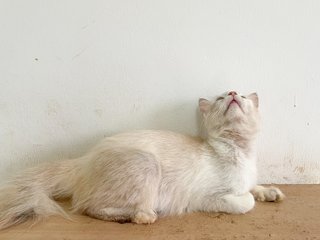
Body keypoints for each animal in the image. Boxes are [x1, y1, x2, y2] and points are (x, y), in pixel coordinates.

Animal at [0, 91, 284, 230]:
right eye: (221, 98)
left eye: (242, 97)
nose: (234, 92)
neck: (241, 151)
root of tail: (82, 160)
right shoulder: (206, 197)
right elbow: (246, 201)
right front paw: (252, 198)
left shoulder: (249, 179)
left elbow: (254, 187)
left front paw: (271, 192)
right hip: (145, 162)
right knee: (88, 207)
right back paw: (142, 216)